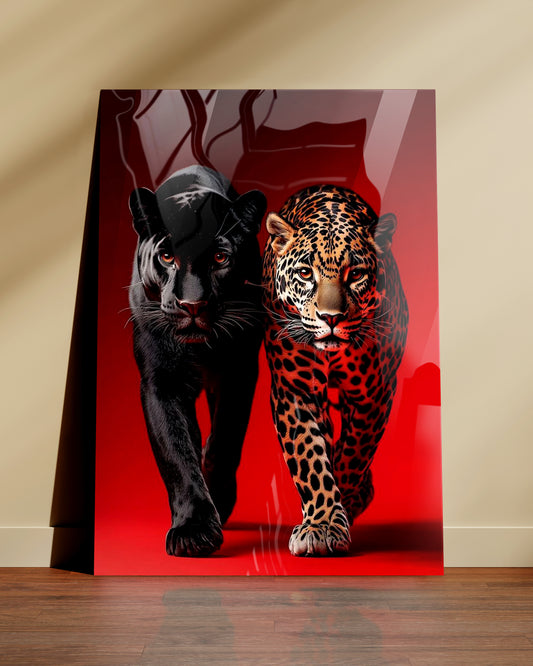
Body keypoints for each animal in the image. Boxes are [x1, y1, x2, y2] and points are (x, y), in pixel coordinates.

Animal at [262, 184, 408, 556]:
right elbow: (310, 456)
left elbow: (354, 452)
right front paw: (322, 522)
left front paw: (343, 504)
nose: (331, 318)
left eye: (355, 274)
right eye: (304, 273)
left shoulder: (374, 393)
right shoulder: (294, 391)